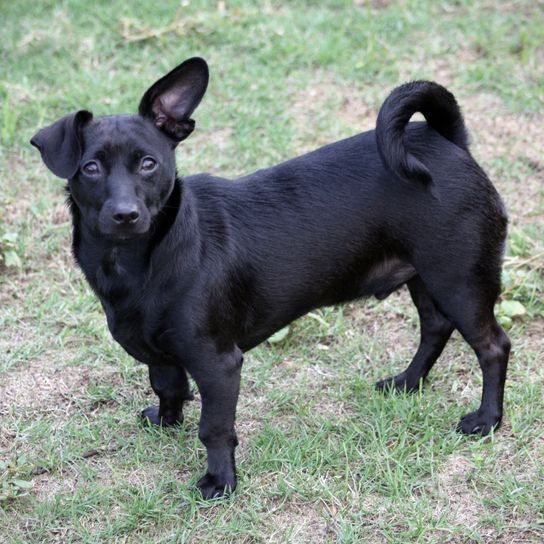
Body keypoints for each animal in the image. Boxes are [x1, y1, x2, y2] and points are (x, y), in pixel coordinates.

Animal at [31, 57, 512, 500]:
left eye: (149, 164)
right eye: (90, 168)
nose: (125, 214)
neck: (138, 260)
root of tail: (448, 142)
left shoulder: (218, 365)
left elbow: (214, 428)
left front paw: (220, 481)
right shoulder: (160, 352)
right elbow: (168, 385)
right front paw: (167, 421)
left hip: (459, 280)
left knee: (493, 347)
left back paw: (486, 420)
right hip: (426, 277)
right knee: (435, 327)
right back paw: (408, 382)